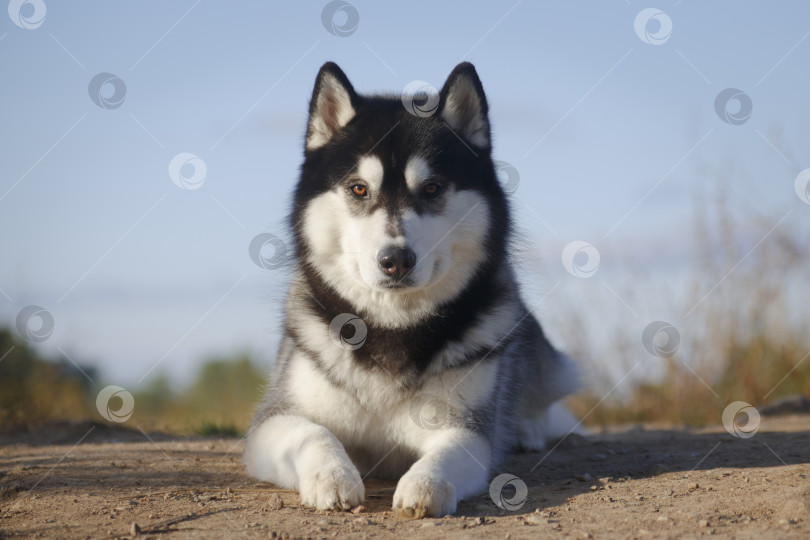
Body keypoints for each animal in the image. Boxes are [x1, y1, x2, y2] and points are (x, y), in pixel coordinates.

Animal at [243, 61, 576, 516]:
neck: (391, 326)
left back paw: (526, 429)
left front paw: (425, 484)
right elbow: (313, 433)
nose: (396, 259)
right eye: (359, 188)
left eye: (432, 188)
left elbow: (452, 451)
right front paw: (332, 476)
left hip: (542, 360)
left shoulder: (466, 425)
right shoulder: (274, 420)